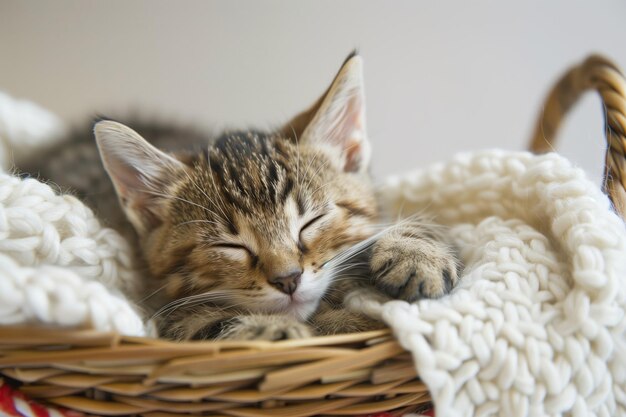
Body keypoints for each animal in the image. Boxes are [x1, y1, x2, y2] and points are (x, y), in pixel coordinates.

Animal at [24, 52, 458, 338]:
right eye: (230, 246)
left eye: (311, 223)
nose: (288, 279)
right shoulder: (170, 316)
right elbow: (218, 323)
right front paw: (279, 331)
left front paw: (415, 254)